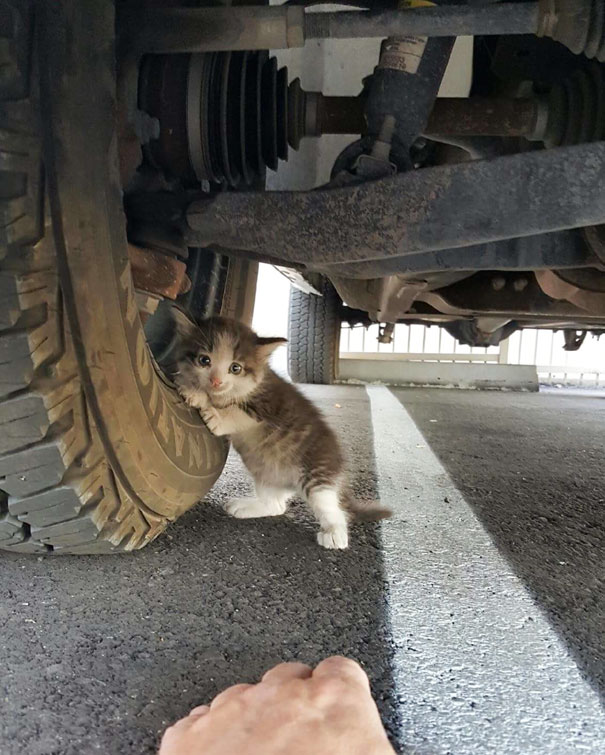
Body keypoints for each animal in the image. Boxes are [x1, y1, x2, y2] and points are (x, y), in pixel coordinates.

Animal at [170, 308, 390, 548]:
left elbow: (236, 411)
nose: (216, 381)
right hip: (266, 474)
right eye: (204, 360)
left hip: (317, 473)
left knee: (331, 507)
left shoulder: (269, 406)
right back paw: (246, 506)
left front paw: (210, 407)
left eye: (235, 368)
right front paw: (192, 388)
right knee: (276, 506)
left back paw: (335, 533)